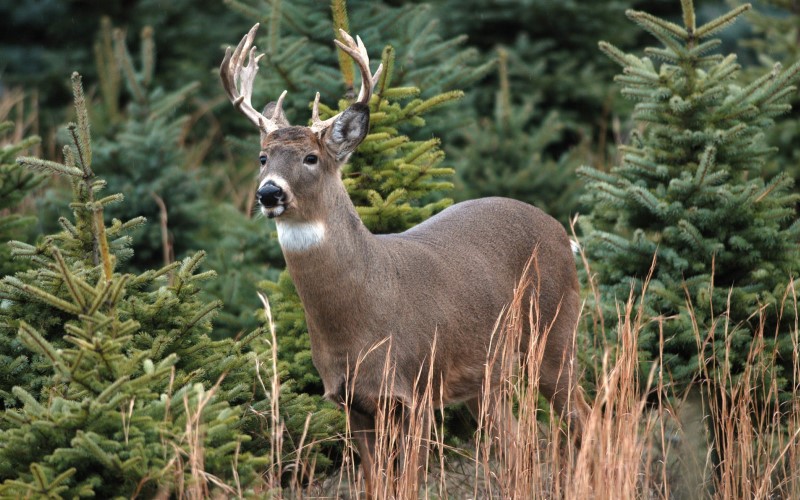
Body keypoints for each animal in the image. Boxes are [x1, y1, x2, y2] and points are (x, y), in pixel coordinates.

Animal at [222, 24, 592, 496]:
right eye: (263, 157)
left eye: (311, 157)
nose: (269, 193)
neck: (360, 319)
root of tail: (562, 233)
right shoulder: (351, 402)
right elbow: (374, 484)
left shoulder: (416, 388)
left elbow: (410, 484)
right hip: (487, 377)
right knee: (515, 444)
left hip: (556, 331)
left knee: (583, 417)